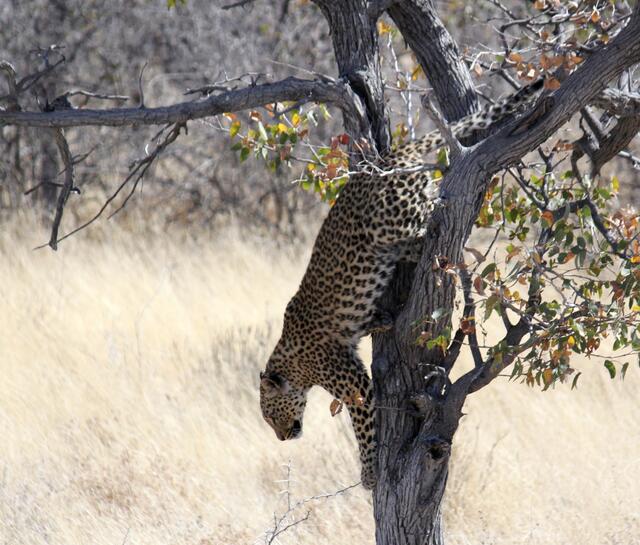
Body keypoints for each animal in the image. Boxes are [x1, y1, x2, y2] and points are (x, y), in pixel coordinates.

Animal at [259, 80, 544, 490]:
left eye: (269, 415)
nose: (282, 437)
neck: (293, 365)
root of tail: (388, 158)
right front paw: (381, 320)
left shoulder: (354, 384)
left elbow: (363, 427)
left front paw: (368, 474)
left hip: (392, 221)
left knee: (432, 219)